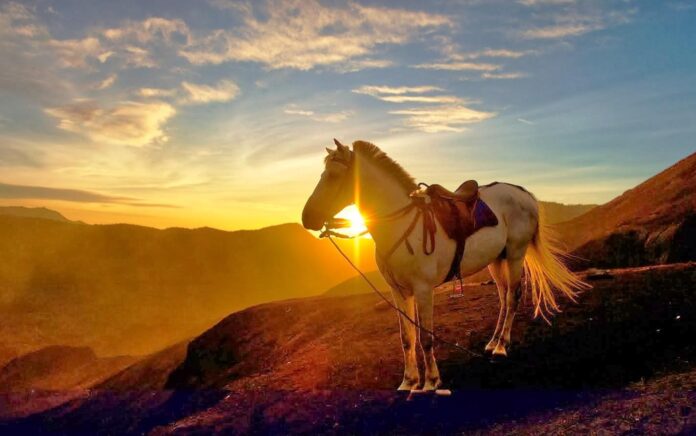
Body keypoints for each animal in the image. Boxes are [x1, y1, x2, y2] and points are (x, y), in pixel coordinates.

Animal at [302, 140, 588, 392]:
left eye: (333, 176)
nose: (307, 218)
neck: (400, 225)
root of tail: (523, 192)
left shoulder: (423, 289)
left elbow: (426, 338)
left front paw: (431, 381)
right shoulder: (398, 291)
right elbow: (407, 338)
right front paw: (409, 381)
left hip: (516, 255)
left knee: (513, 297)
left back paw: (501, 346)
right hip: (497, 260)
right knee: (503, 297)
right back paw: (492, 342)